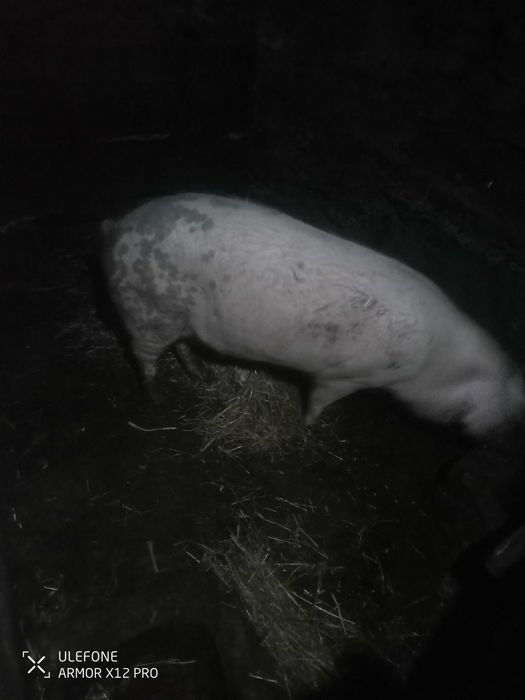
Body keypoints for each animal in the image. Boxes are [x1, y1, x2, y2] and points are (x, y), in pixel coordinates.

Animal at [102, 193, 524, 437]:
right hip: (144, 307)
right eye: (500, 409)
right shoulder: (348, 375)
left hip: (173, 316)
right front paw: (305, 428)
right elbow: (320, 400)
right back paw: (157, 397)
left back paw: (202, 375)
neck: (432, 363)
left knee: (180, 346)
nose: (494, 433)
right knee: (143, 355)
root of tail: (119, 225)